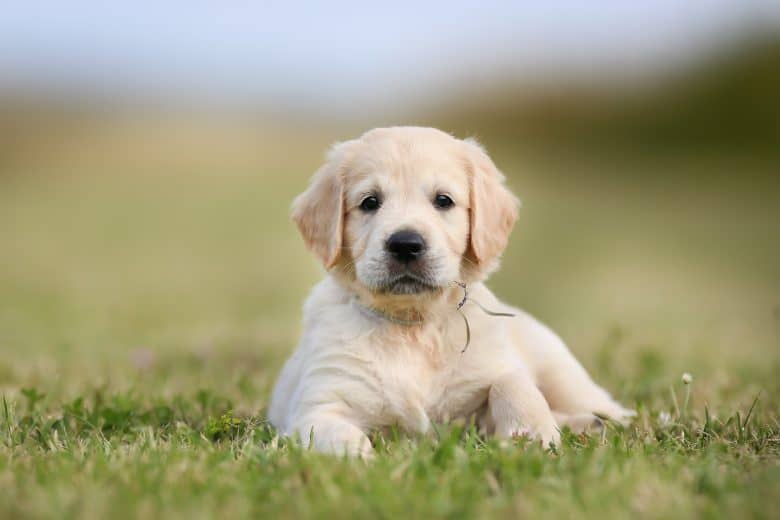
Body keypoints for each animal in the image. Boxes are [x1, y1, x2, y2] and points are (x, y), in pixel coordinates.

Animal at [268, 126, 632, 456]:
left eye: (443, 200)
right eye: (370, 202)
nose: (405, 244)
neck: (412, 325)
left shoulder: (492, 368)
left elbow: (513, 383)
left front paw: (533, 435)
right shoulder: (319, 403)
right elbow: (333, 431)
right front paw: (356, 459)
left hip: (560, 368)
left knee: (608, 407)